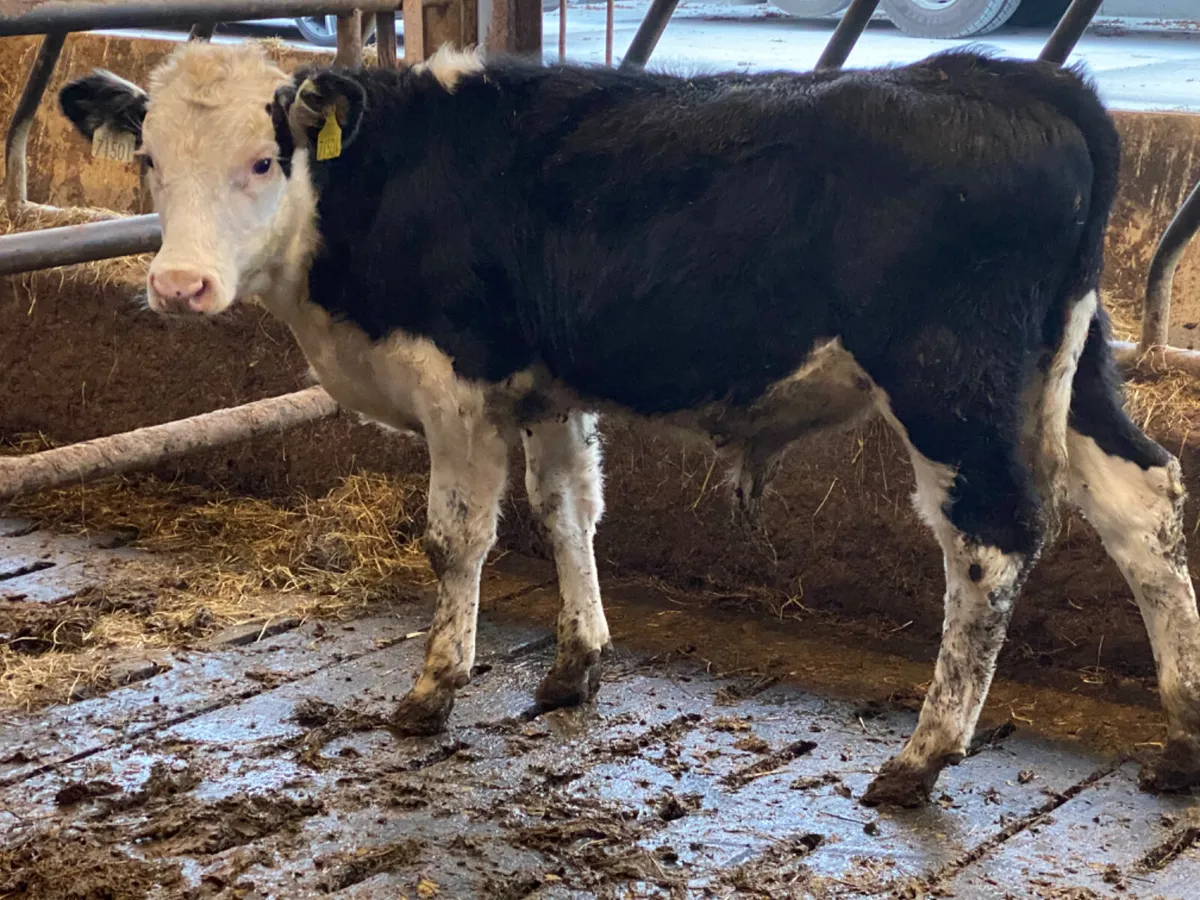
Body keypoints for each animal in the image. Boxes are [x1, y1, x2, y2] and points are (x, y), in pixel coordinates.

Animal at [60, 42, 1200, 806]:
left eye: (264, 159)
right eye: (150, 161)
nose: (179, 286)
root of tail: (1018, 80)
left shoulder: (455, 382)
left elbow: (456, 537)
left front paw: (434, 688)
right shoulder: (546, 389)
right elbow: (568, 508)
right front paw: (576, 664)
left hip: (951, 381)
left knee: (991, 542)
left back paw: (923, 756)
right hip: (1070, 365)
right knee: (1142, 504)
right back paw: (1182, 738)